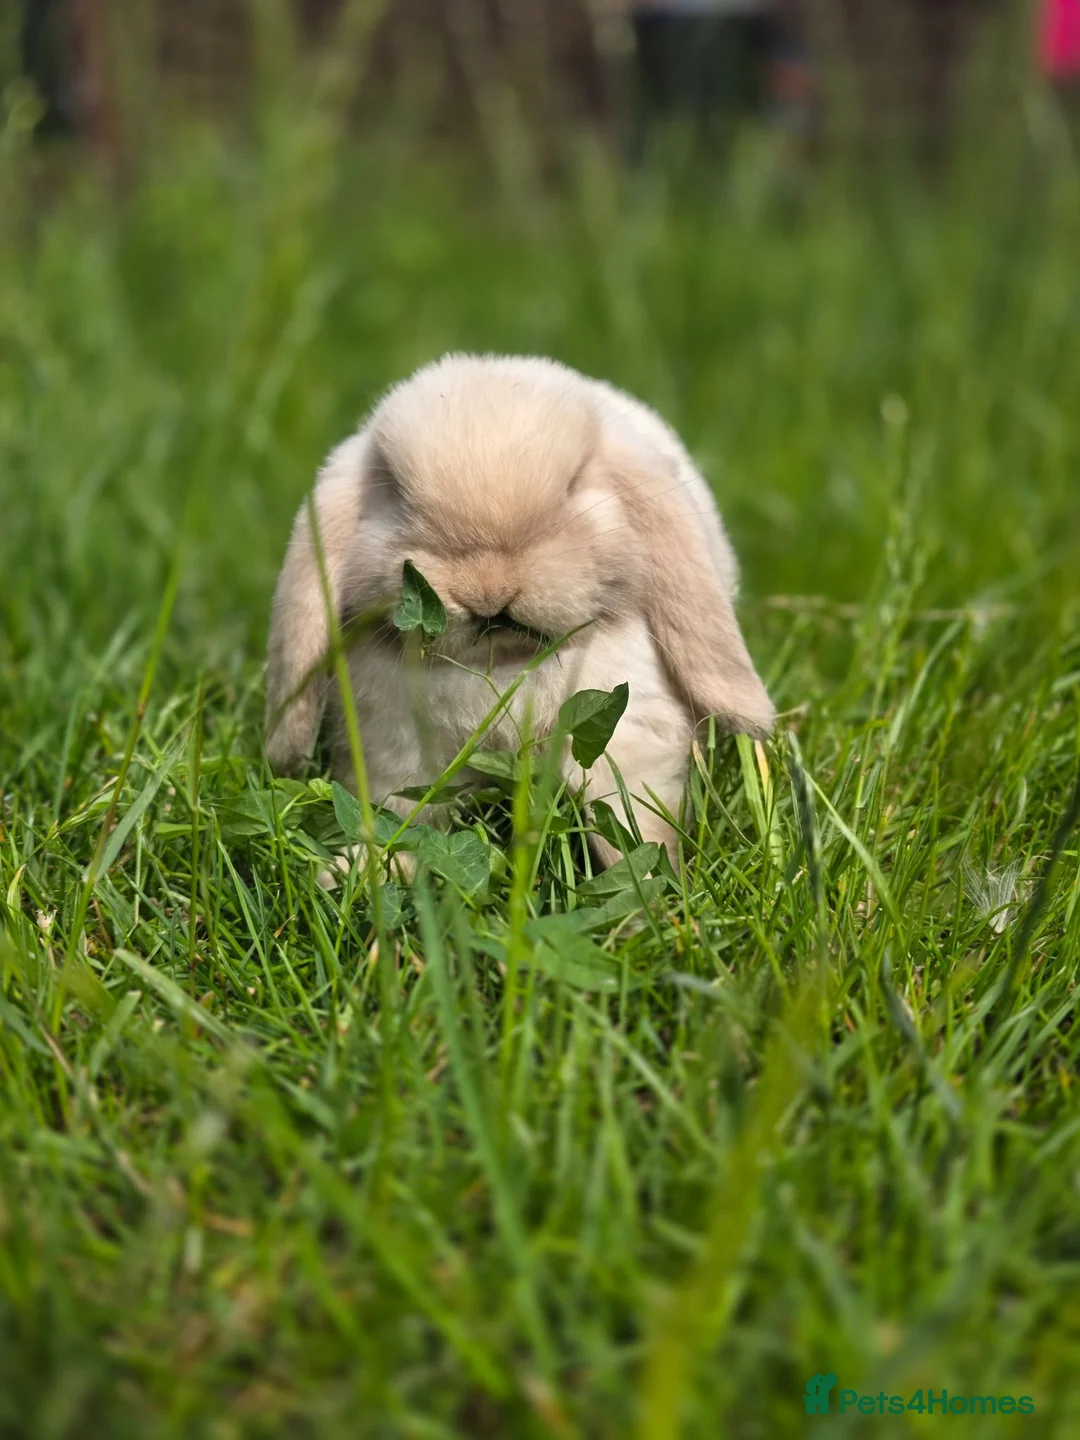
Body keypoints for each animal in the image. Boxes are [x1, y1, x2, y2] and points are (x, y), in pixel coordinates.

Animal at [265, 353, 774, 873]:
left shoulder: (626, 735)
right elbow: (401, 818)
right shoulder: (398, 755)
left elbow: (632, 824)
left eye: (572, 485)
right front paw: (358, 870)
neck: (506, 663)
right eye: (397, 496)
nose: (489, 592)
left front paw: (653, 882)